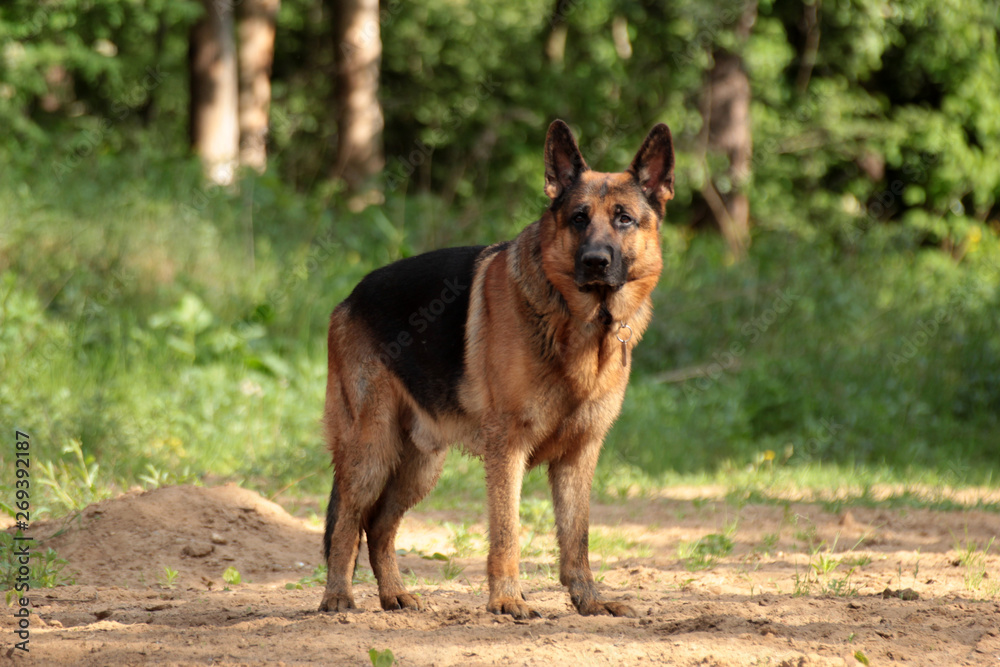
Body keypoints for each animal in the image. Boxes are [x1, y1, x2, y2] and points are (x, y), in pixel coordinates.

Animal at [324, 120, 676, 620]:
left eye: (623, 218)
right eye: (578, 218)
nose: (595, 262)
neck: (580, 324)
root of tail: (351, 295)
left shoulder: (579, 455)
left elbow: (577, 538)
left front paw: (588, 600)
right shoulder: (508, 450)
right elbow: (507, 532)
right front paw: (508, 599)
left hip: (419, 467)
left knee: (378, 525)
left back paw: (394, 594)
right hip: (370, 453)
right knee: (347, 522)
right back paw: (337, 596)